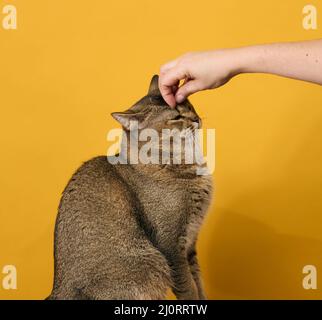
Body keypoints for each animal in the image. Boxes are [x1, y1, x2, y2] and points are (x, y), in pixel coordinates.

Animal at [47, 75, 213, 300]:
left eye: (188, 104)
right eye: (176, 117)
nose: (196, 119)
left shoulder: (190, 244)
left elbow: (198, 282)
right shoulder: (171, 246)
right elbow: (188, 287)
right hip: (151, 263)